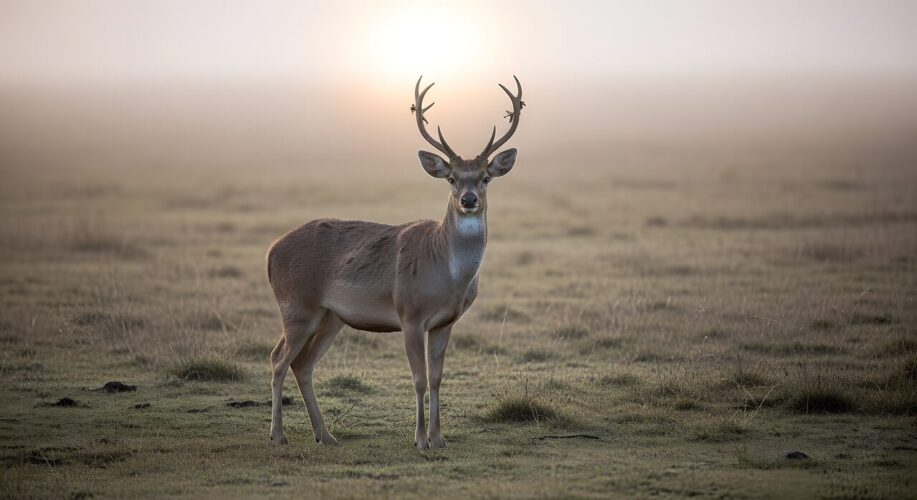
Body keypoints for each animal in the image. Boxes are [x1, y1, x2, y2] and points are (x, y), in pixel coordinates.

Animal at [266, 76, 523, 449]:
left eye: (485, 177)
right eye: (452, 178)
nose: (468, 199)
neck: (447, 273)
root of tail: (271, 252)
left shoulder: (445, 322)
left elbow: (437, 378)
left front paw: (439, 438)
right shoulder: (409, 314)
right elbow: (418, 378)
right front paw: (420, 440)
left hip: (331, 316)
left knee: (302, 364)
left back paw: (324, 435)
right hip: (297, 306)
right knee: (278, 360)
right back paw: (277, 434)